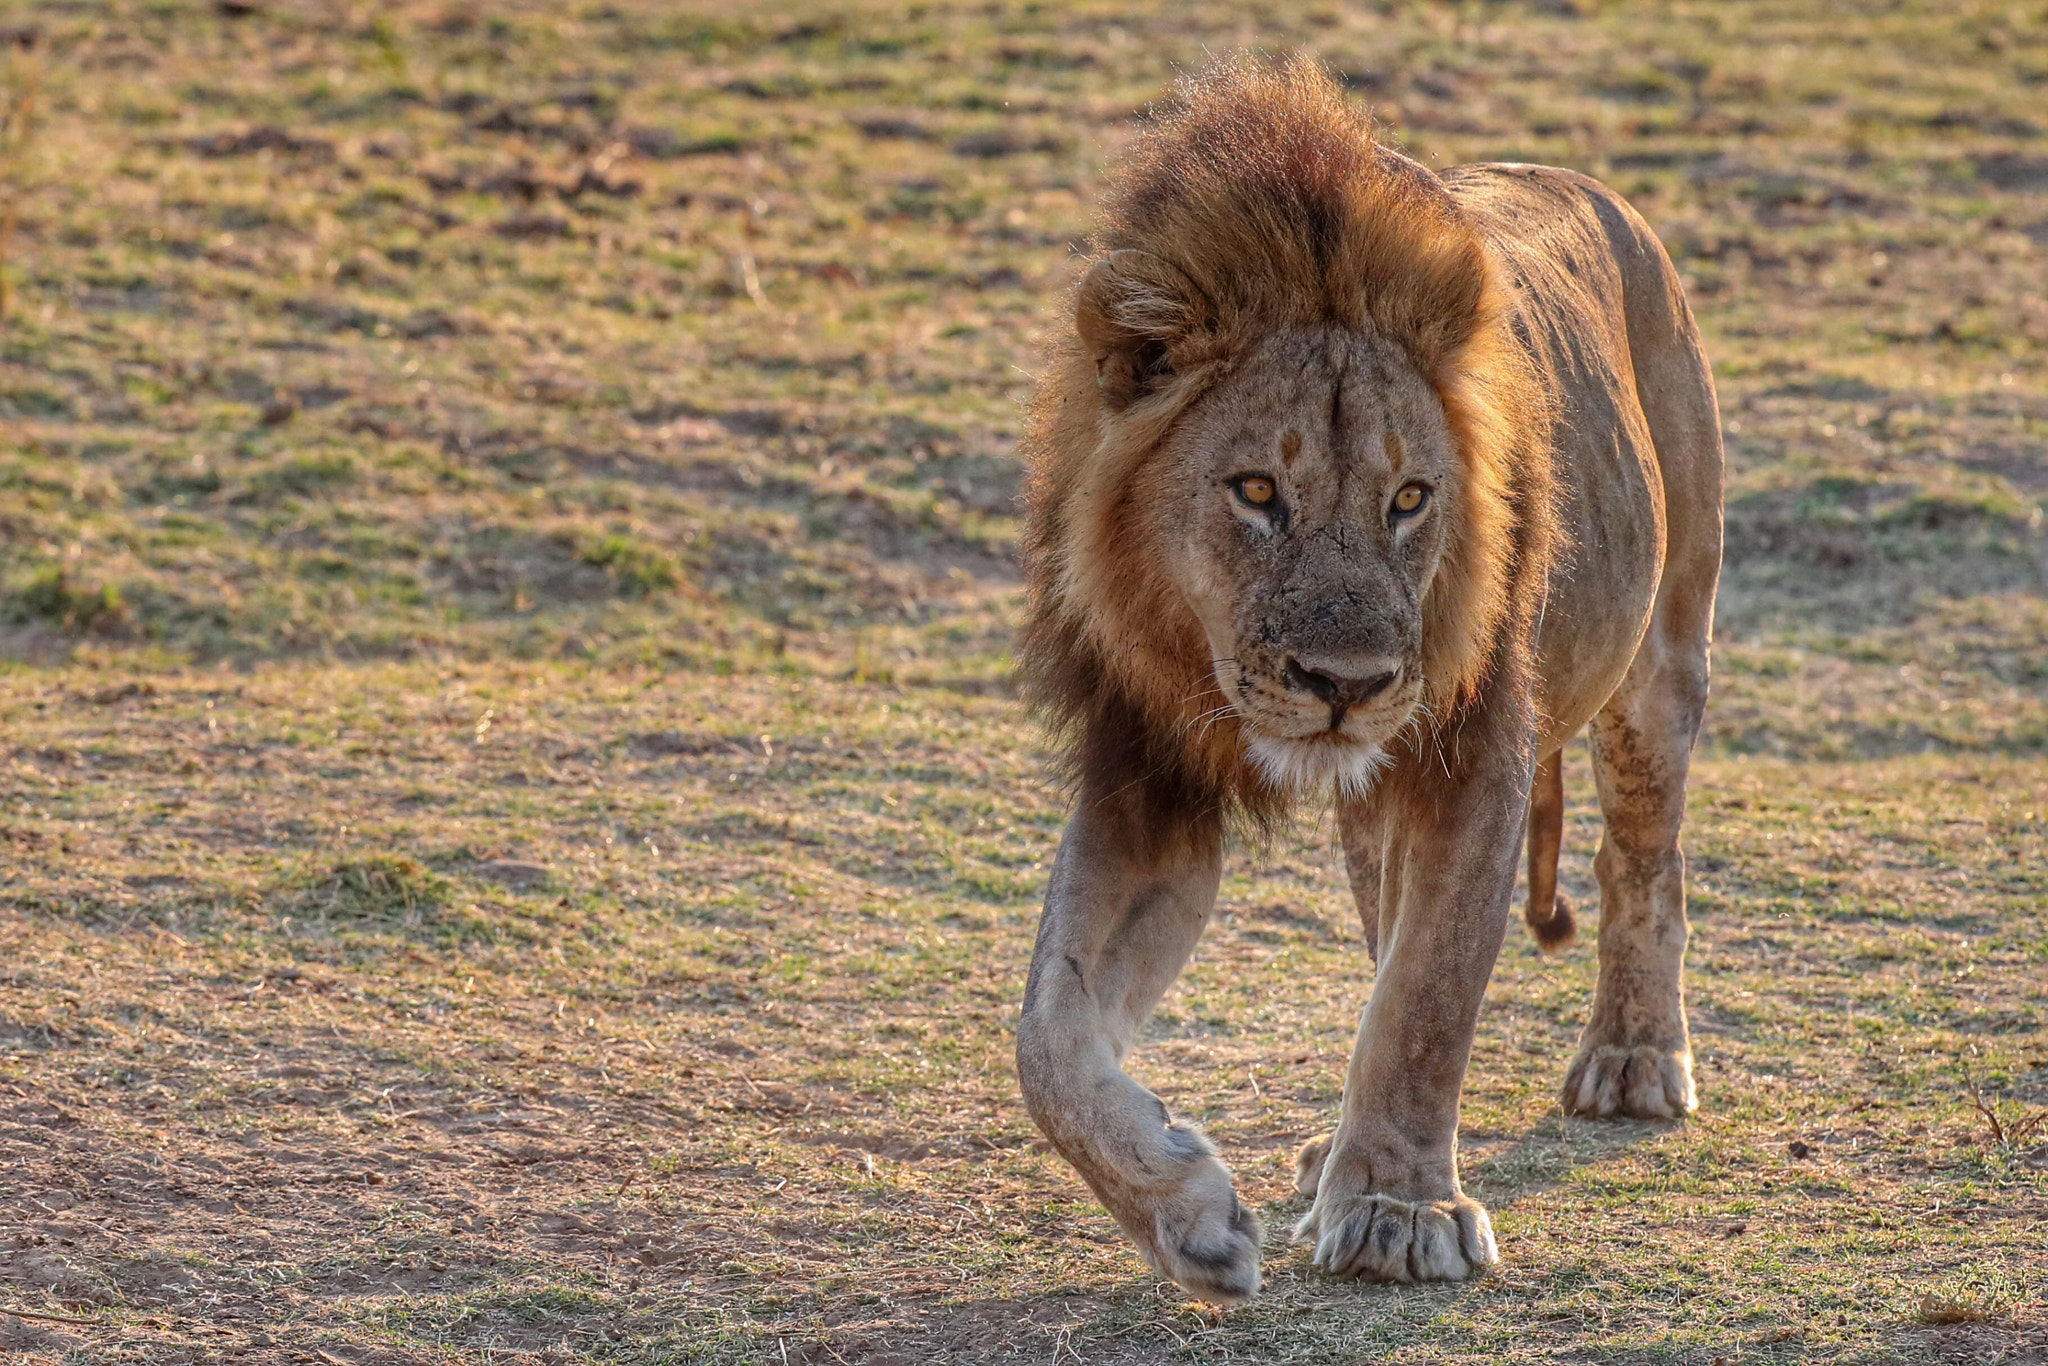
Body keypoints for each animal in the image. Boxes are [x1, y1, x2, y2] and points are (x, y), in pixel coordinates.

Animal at [1015, 58, 1720, 1302]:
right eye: (1255, 491)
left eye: (1408, 499)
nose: (1347, 682)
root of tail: (1596, 190)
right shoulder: (1145, 772)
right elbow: (1047, 1031)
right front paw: (1189, 1216)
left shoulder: (1473, 749)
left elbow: (1424, 994)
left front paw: (1399, 1210)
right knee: (1377, 903)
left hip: (1660, 654)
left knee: (1641, 856)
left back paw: (1632, 1056)